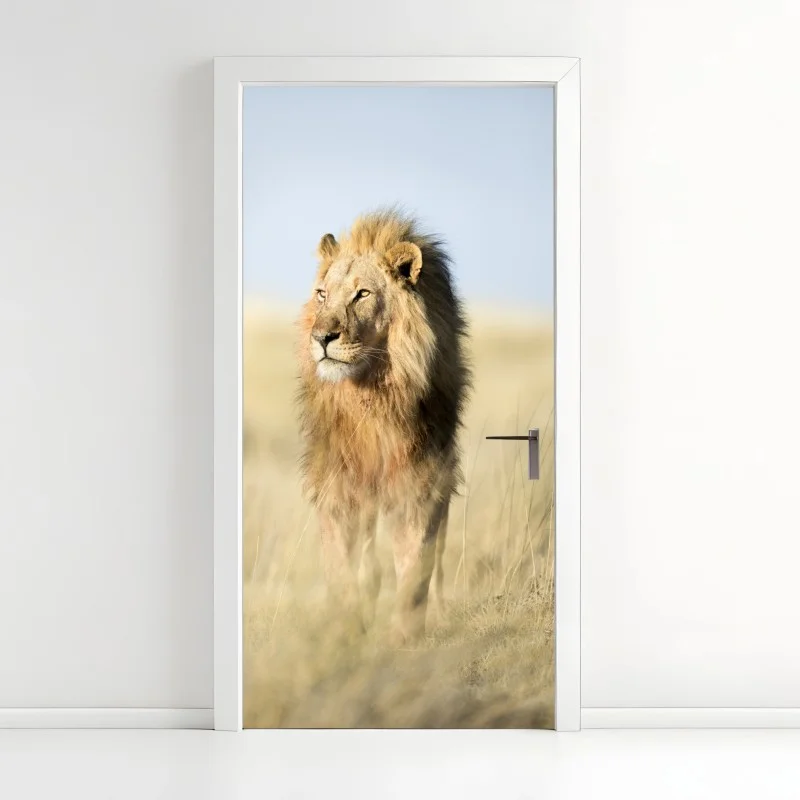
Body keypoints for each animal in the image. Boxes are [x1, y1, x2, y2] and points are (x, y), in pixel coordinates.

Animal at [296, 208, 471, 644]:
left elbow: (415, 566)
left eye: (362, 294)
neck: (371, 395)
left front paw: (404, 638)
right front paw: (346, 633)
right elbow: (342, 567)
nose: (322, 337)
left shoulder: (422, 480)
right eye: (322, 294)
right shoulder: (336, 484)